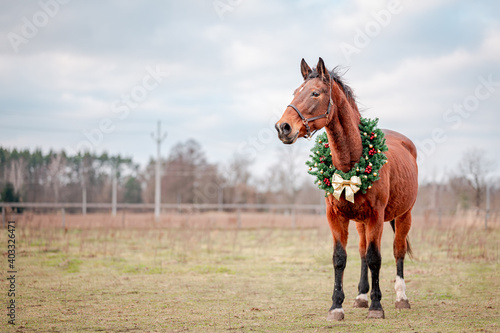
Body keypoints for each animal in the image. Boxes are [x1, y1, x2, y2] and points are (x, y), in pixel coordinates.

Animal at [276, 58, 420, 320]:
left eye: (315, 93)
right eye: (295, 92)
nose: (283, 127)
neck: (350, 164)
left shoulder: (376, 217)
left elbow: (375, 258)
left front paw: (376, 307)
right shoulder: (336, 217)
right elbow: (340, 258)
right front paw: (336, 306)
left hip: (404, 216)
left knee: (398, 251)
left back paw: (401, 298)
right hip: (362, 223)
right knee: (362, 251)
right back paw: (361, 296)